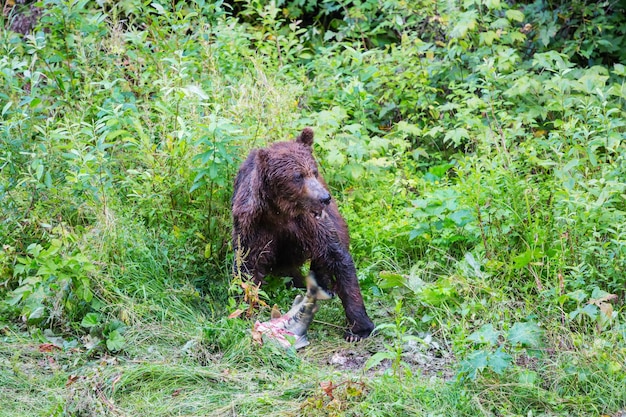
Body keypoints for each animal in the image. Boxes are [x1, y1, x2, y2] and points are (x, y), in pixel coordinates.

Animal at [230, 127, 372, 342]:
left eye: (314, 171)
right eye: (297, 176)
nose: (324, 198)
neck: (280, 210)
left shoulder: (310, 222)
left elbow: (337, 256)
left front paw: (358, 329)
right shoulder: (253, 226)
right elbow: (246, 266)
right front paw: (244, 310)